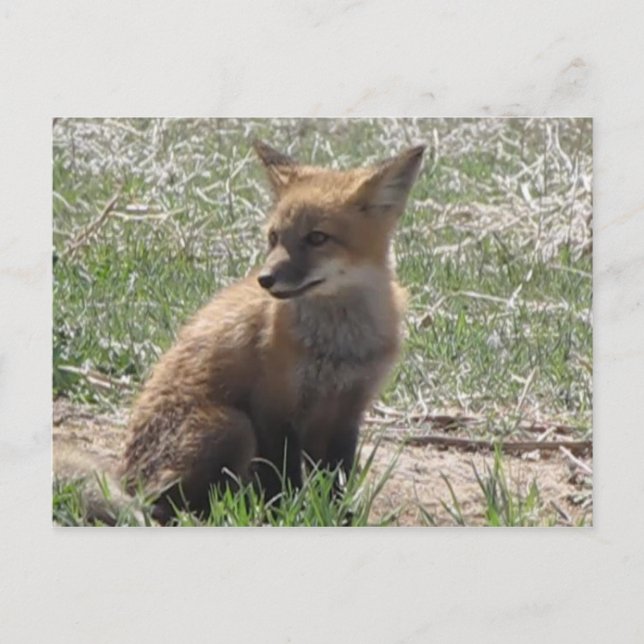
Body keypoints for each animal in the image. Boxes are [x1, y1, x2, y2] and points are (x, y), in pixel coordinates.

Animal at [55, 140, 425, 524]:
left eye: (317, 238)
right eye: (274, 238)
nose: (265, 279)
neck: (338, 347)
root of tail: (125, 476)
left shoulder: (347, 411)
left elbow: (336, 482)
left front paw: (339, 517)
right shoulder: (273, 406)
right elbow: (283, 480)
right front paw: (283, 517)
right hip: (232, 425)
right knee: (165, 505)